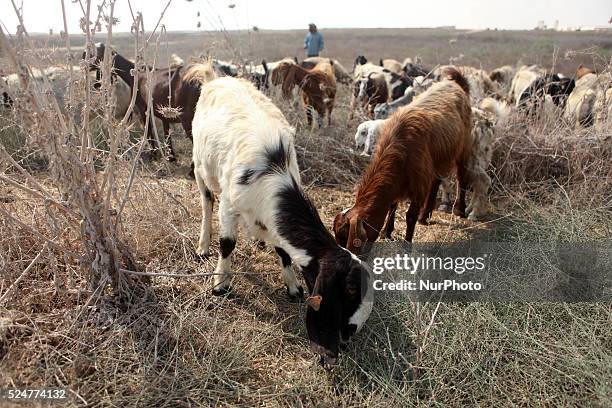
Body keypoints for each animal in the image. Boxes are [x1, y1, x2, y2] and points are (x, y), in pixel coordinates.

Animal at [191, 76, 372, 366]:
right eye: (350, 290)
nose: (347, 337)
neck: (274, 173)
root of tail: (218, 78)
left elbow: (283, 250)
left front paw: (292, 286)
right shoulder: (229, 205)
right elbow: (227, 243)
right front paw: (220, 283)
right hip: (200, 165)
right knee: (207, 201)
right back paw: (203, 245)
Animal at [334, 68, 474, 253]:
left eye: (345, 238)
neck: (399, 147)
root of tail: (455, 84)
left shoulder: (419, 184)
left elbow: (410, 216)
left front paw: (407, 244)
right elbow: (392, 205)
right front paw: (387, 232)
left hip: (464, 148)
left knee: (461, 176)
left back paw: (459, 209)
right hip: (437, 160)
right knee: (436, 182)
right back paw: (425, 215)